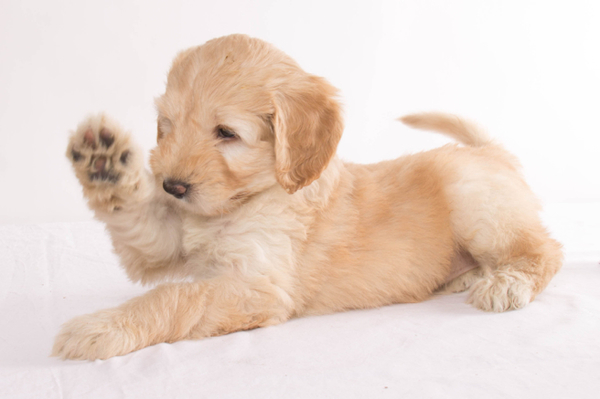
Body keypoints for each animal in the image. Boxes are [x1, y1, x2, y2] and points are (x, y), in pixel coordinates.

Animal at [52, 32, 564, 360]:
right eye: (168, 126)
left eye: (226, 133)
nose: (173, 187)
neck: (248, 199)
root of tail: (487, 150)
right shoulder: (169, 238)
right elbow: (142, 223)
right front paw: (104, 162)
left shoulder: (257, 286)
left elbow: (173, 298)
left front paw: (100, 327)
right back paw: (462, 277)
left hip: (475, 202)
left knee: (544, 249)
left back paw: (504, 283)